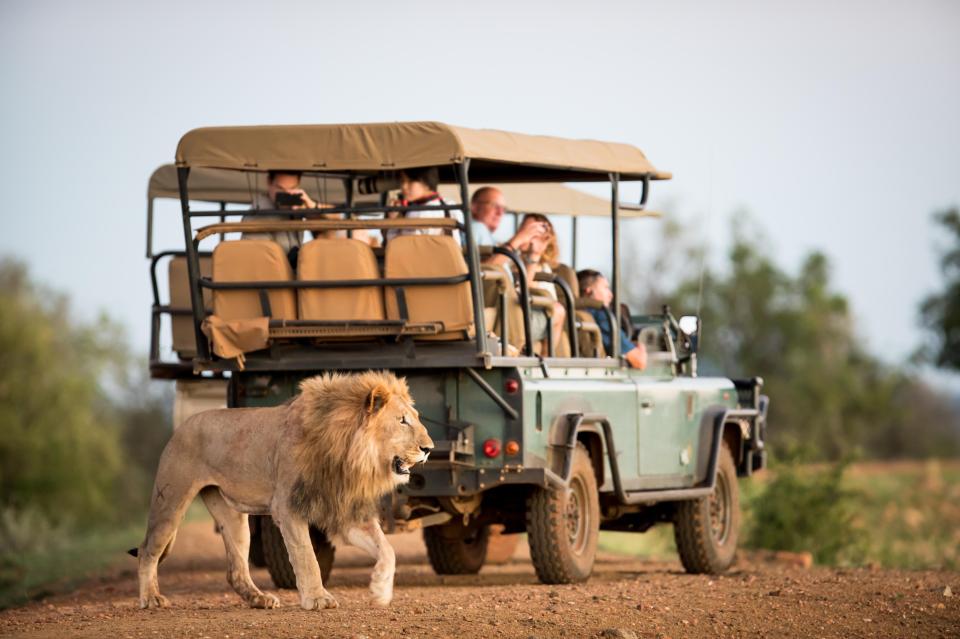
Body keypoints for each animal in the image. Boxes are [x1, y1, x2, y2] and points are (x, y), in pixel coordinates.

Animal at [130, 372, 436, 612]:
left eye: (416, 418)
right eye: (402, 421)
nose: (429, 448)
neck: (349, 454)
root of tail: (182, 425)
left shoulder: (346, 511)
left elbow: (387, 550)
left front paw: (380, 591)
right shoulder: (288, 507)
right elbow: (306, 556)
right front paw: (318, 598)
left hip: (233, 517)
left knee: (236, 569)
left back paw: (259, 599)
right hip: (171, 499)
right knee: (147, 550)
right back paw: (152, 598)